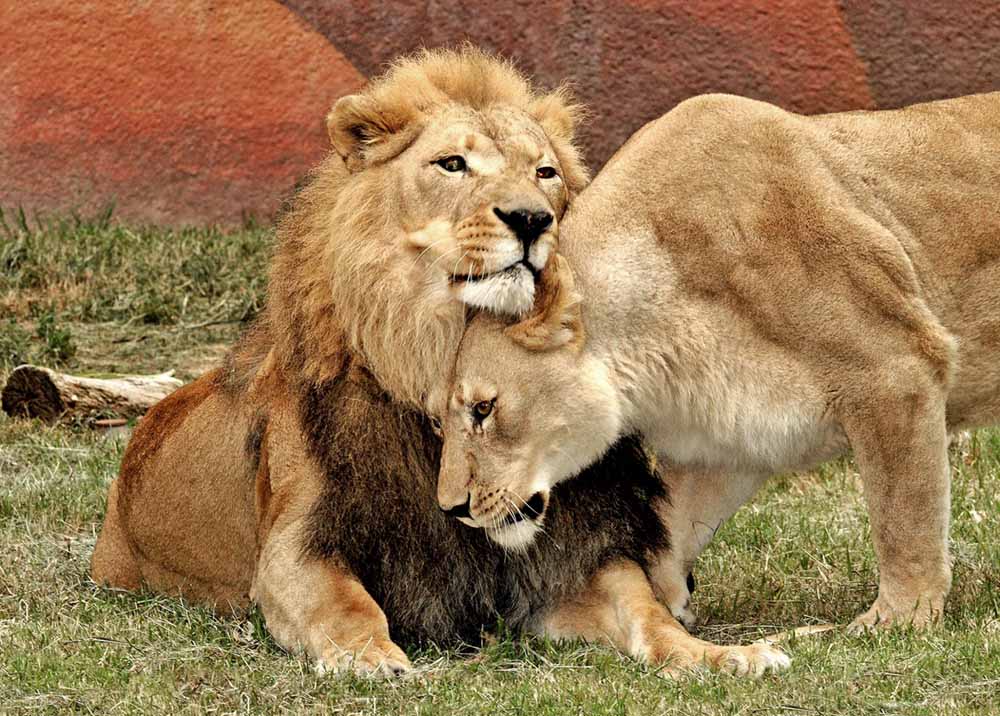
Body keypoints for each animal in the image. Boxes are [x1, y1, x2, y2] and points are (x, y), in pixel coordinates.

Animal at [90, 50, 784, 676]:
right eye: (453, 164)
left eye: (545, 172)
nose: (531, 219)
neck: (444, 352)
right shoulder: (299, 543)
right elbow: (345, 606)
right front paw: (372, 659)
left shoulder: (569, 552)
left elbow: (645, 610)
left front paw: (723, 654)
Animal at [442, 93, 1000, 632]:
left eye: (483, 409)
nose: (453, 509)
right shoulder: (733, 436)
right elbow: (669, 527)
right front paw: (659, 606)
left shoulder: (895, 368)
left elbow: (903, 513)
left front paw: (901, 617)